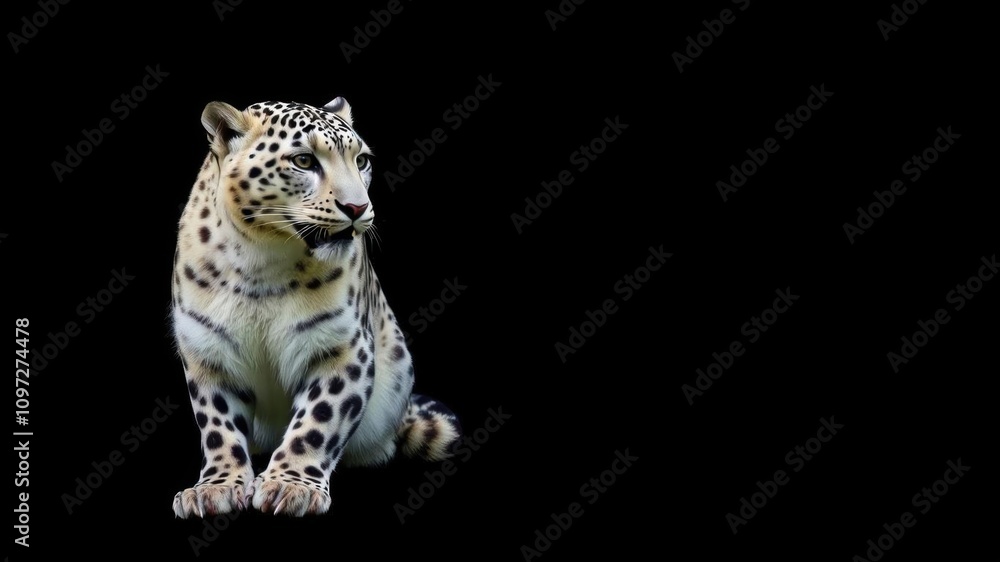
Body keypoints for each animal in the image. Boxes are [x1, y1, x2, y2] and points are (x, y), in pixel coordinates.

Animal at [170, 97, 460, 518]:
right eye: (304, 160)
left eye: (361, 160)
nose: (357, 207)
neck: (261, 260)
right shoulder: (209, 350)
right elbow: (218, 424)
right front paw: (215, 488)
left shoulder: (342, 347)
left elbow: (317, 421)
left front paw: (289, 487)